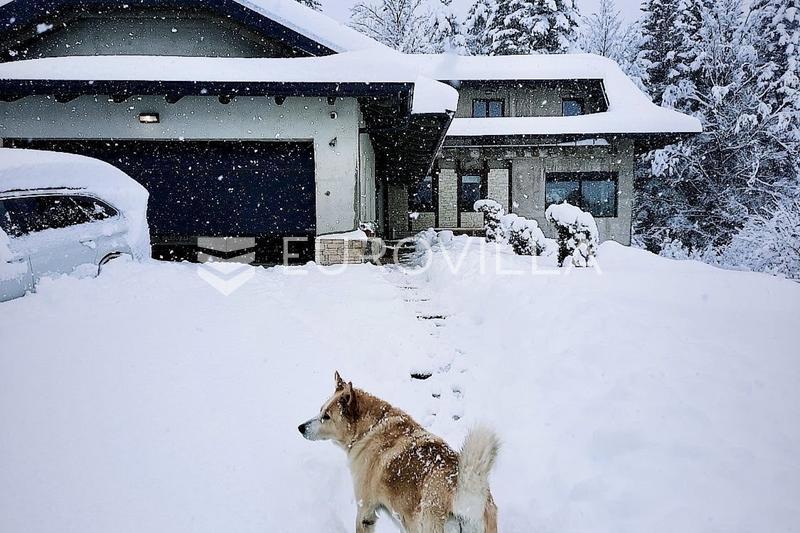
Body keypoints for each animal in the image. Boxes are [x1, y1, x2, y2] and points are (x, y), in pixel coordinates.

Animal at [300, 372, 500, 532]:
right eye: (320, 410)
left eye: (326, 416)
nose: (300, 427)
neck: (371, 428)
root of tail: (466, 498)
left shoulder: (365, 510)